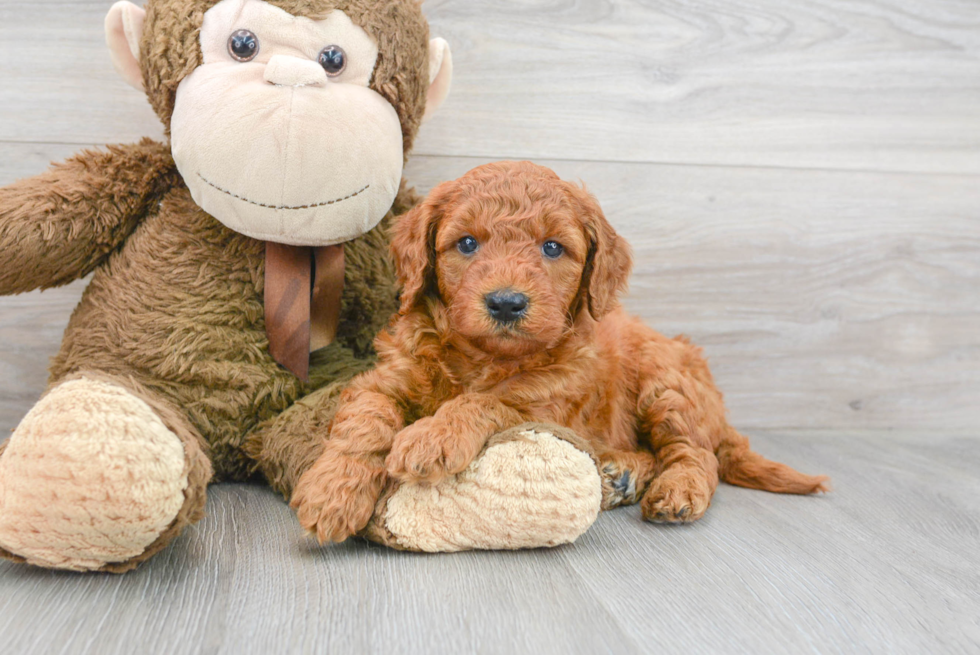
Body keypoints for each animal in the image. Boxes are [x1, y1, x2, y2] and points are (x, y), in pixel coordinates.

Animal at [290, 160, 828, 544]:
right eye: (466, 243)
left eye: (552, 248)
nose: (506, 302)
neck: (483, 358)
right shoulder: (386, 377)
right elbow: (366, 420)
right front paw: (331, 493)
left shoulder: (548, 402)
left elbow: (488, 400)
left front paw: (432, 436)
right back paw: (620, 473)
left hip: (666, 384)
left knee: (694, 452)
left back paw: (676, 490)